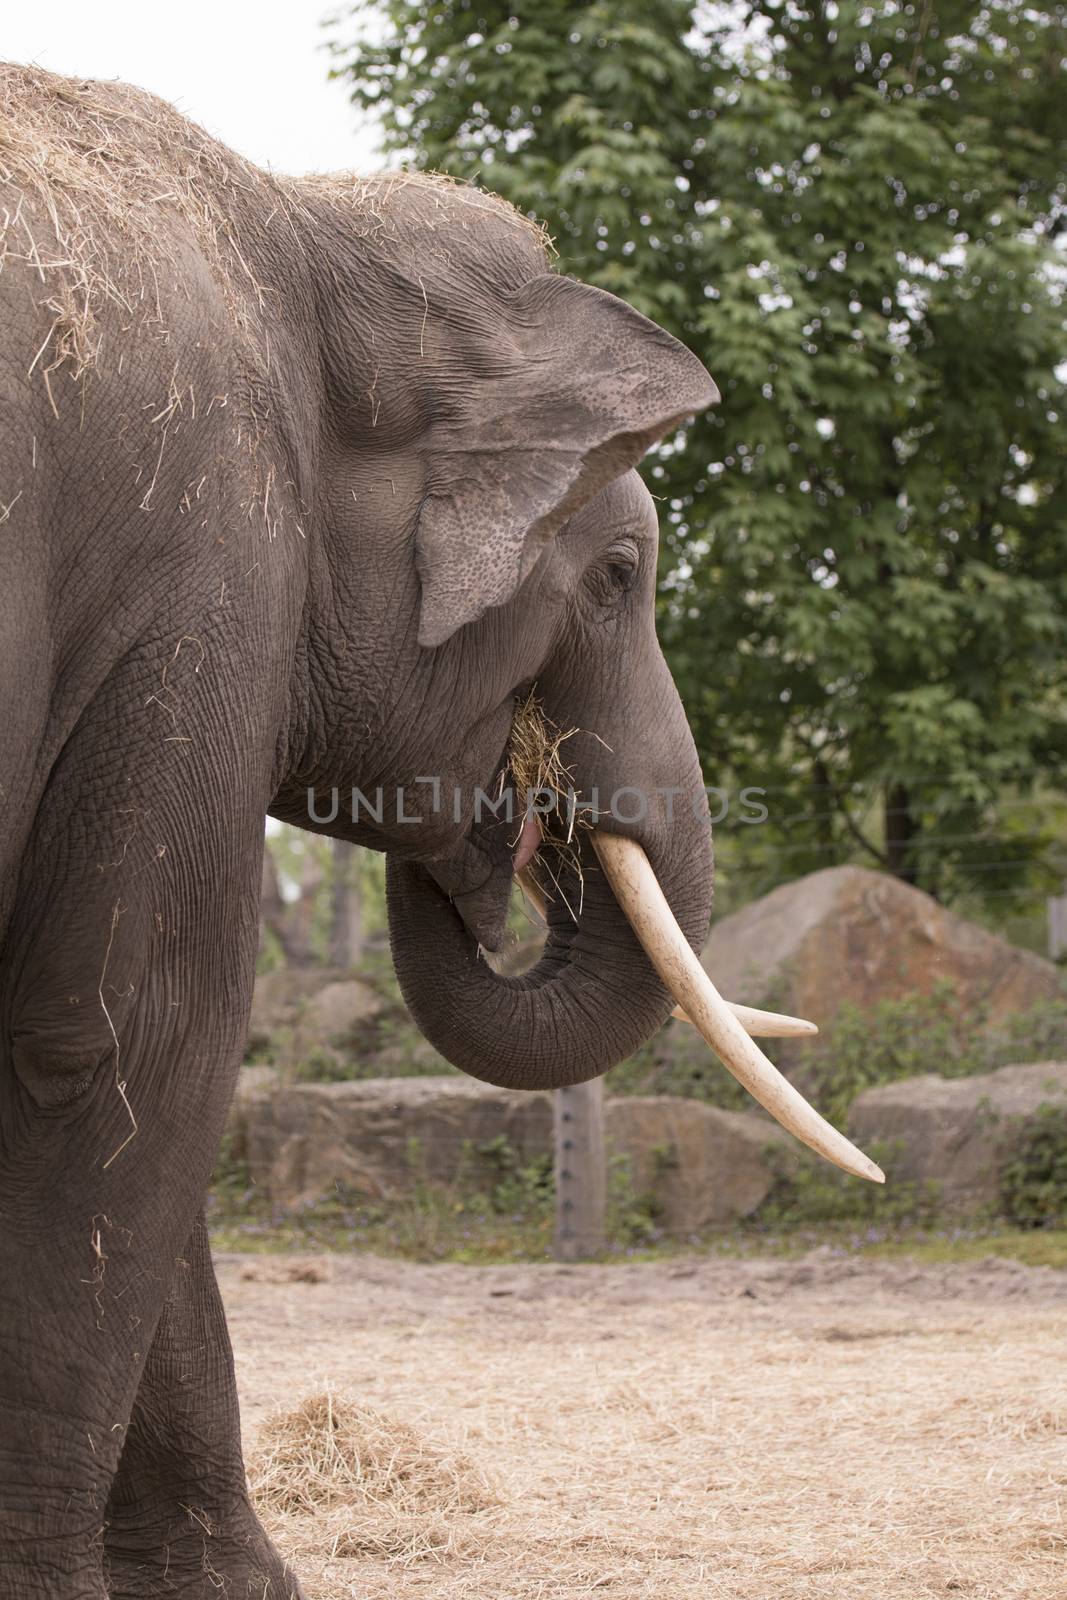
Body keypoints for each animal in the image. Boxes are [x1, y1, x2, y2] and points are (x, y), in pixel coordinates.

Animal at [0, 62, 876, 1600]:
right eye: (617, 571)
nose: (508, 822)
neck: (315, 229)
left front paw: (237, 1592)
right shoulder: (205, 565)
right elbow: (129, 1033)